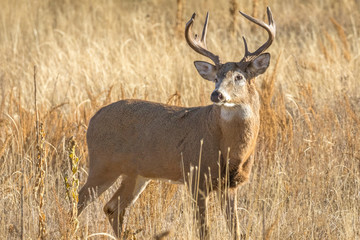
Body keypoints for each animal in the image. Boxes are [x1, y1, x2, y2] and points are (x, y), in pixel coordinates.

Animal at [79, 6, 276, 239]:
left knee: (112, 207)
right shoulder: (195, 176)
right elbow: (204, 230)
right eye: (216, 77)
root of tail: (93, 119)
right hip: (102, 164)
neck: (230, 149)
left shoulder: (230, 185)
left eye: (239, 77)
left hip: (136, 173)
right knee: (79, 198)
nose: (216, 94)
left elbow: (236, 230)